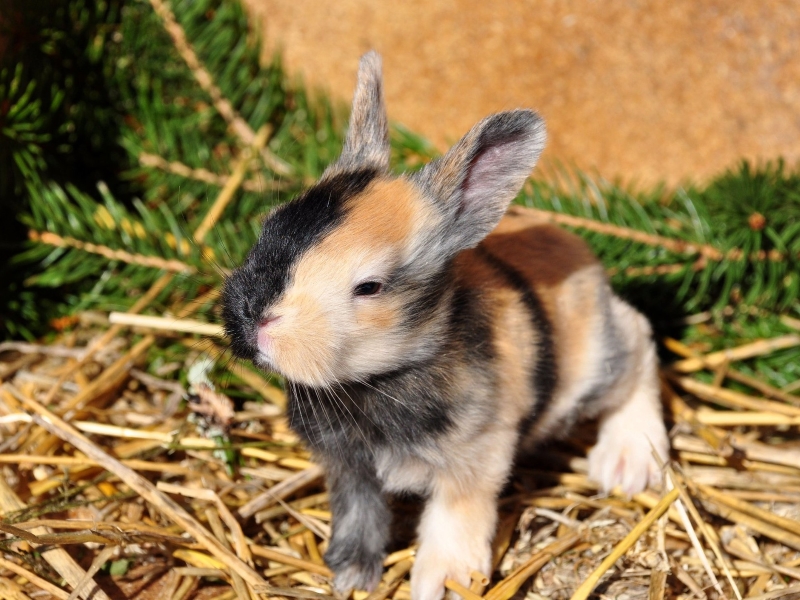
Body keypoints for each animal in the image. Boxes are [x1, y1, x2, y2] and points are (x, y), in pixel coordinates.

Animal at [222, 50, 672, 600]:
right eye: (269, 225)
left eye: (369, 287)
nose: (251, 317)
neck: (383, 376)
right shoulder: (349, 471)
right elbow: (359, 517)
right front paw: (350, 576)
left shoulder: (475, 459)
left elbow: (455, 517)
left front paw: (444, 582)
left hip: (599, 361)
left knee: (639, 343)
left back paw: (626, 462)